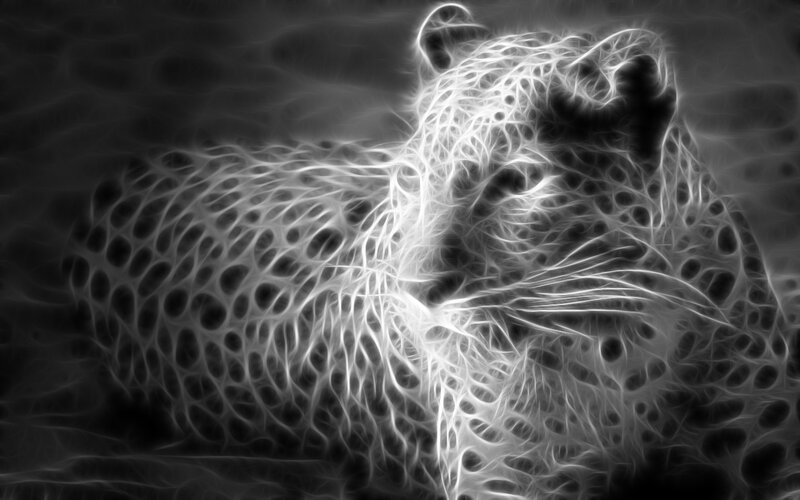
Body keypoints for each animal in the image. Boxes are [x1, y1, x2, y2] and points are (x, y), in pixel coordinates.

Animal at [64, 3, 800, 499]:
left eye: (516, 182)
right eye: (414, 175)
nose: (417, 295)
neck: (628, 330)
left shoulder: (774, 458)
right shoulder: (510, 482)